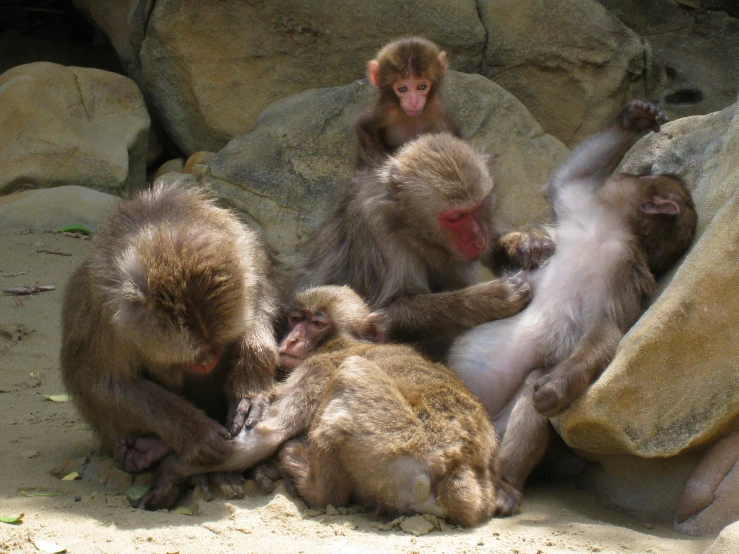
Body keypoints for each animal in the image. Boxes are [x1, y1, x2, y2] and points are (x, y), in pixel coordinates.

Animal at [124, 284, 500, 520]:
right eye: (296, 318)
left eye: (317, 323)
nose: (291, 340)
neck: (338, 340)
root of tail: (455, 469)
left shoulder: (319, 366)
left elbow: (268, 432)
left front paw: (170, 471)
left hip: (398, 445)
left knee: (351, 374)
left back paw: (306, 477)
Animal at [448, 99, 696, 512]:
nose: (631, 169)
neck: (606, 231)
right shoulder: (581, 210)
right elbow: (562, 183)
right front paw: (635, 118)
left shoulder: (622, 269)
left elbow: (605, 328)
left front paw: (558, 387)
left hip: (494, 429)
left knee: (531, 386)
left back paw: (503, 484)